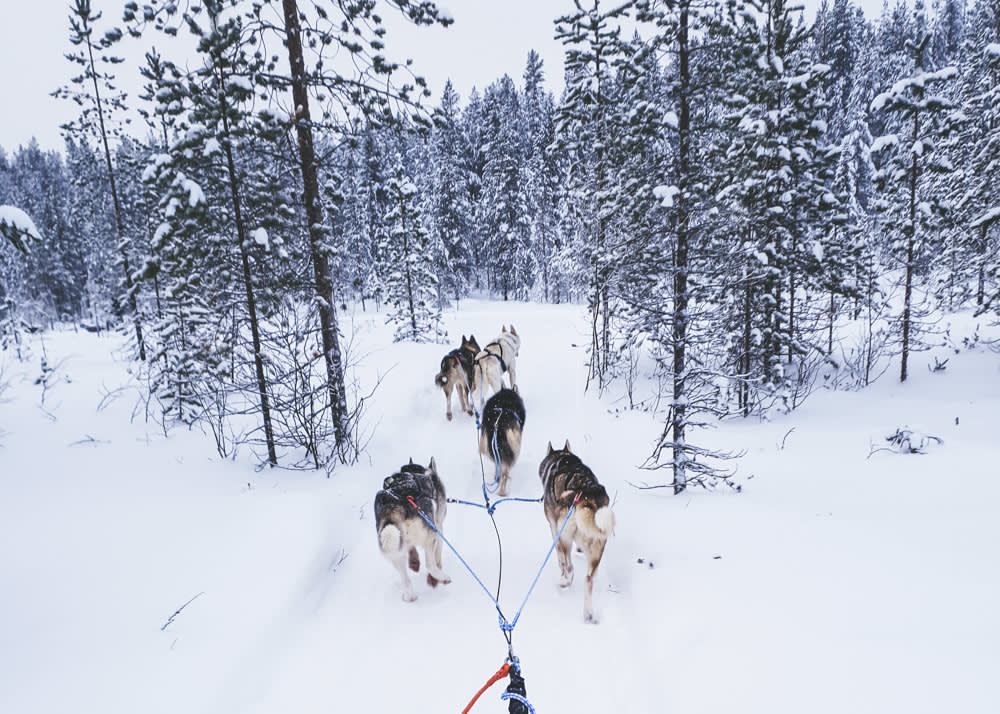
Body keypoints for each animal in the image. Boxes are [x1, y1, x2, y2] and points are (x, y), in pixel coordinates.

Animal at [376, 456, 454, 600]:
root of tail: (393, 504)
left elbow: (412, 551)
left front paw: (414, 562)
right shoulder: (439, 528)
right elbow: (437, 557)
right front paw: (434, 578)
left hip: (393, 547)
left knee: (405, 578)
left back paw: (410, 595)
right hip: (431, 535)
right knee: (430, 564)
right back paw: (442, 578)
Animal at [540, 442, 616, 620]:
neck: (563, 460)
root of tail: (585, 496)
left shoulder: (554, 528)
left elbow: (560, 558)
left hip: (564, 537)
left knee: (569, 567)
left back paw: (564, 582)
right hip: (598, 546)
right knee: (588, 579)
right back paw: (588, 614)